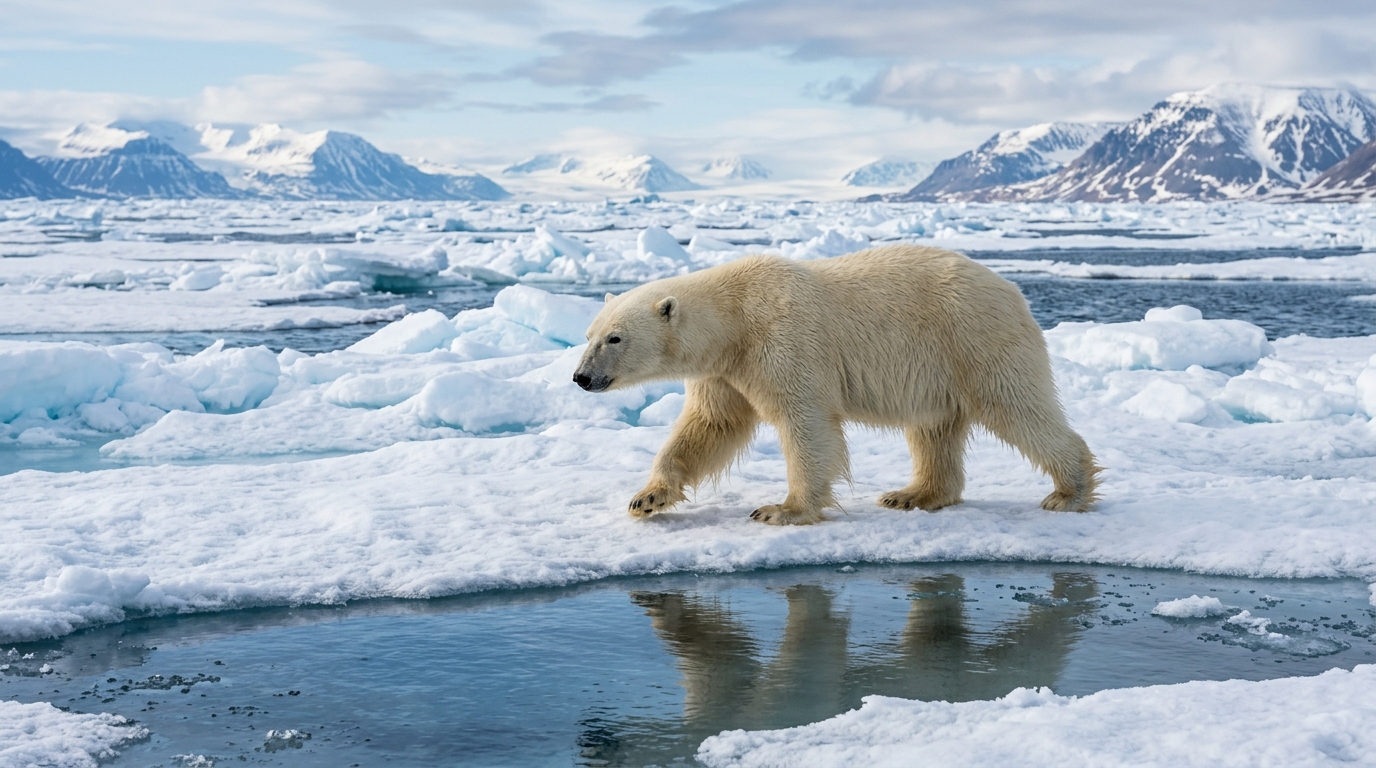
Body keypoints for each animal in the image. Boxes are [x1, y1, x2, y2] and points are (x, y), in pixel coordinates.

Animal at [572, 244, 1100, 525]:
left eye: (615, 338)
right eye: (589, 334)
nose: (581, 377)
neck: (735, 317)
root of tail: (1013, 290)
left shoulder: (783, 342)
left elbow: (805, 422)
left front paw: (781, 509)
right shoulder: (724, 370)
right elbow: (711, 426)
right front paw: (647, 498)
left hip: (973, 339)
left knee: (1015, 406)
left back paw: (1068, 491)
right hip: (938, 367)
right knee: (933, 428)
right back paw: (912, 494)